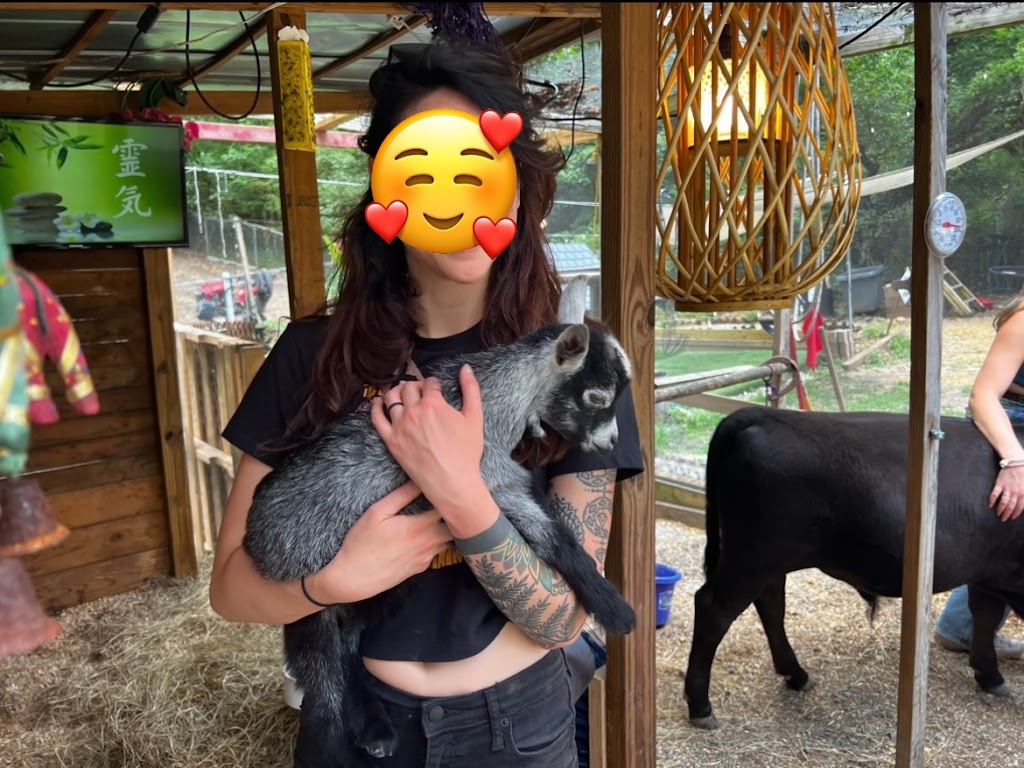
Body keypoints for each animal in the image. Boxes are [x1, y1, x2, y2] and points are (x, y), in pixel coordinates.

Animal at [684, 405, 1024, 730]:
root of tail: (758, 414)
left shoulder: (987, 572)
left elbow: (985, 615)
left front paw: (990, 676)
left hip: (767, 560)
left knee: (770, 604)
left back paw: (796, 675)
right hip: (752, 556)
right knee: (714, 608)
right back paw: (700, 706)